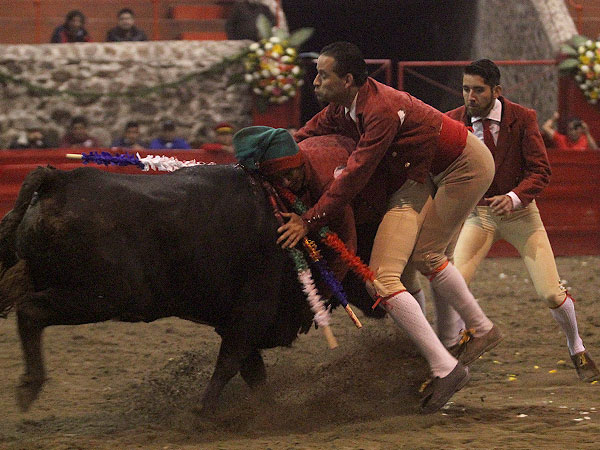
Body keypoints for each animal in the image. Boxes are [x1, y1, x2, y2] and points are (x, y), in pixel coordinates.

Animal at [0, 164, 318, 413]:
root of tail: (59, 180)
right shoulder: (255, 306)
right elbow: (233, 359)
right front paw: (204, 412)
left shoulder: (234, 317)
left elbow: (250, 369)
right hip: (104, 296)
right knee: (30, 311)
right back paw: (30, 385)